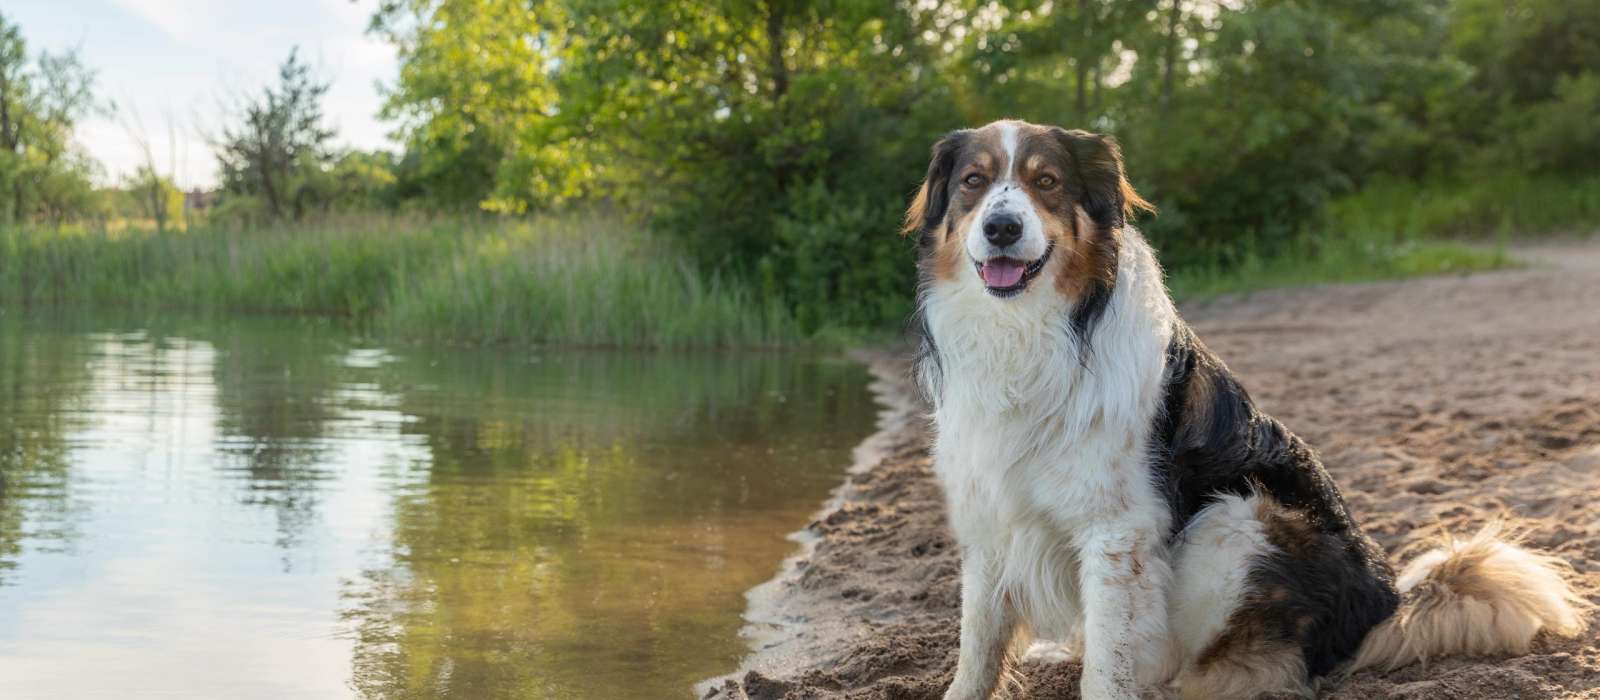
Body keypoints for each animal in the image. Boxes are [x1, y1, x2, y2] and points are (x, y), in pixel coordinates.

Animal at [902, 117, 1587, 696]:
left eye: (1046, 182)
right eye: (973, 182)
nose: (1002, 228)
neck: (1029, 333)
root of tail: (1385, 603)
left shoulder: (1118, 530)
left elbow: (1109, 662)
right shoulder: (989, 512)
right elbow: (978, 644)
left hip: (1238, 518)